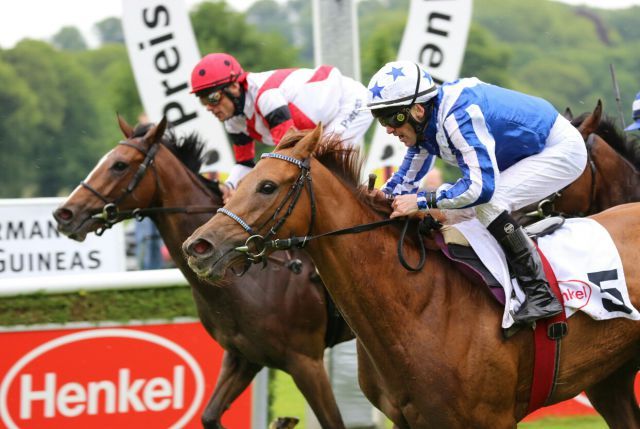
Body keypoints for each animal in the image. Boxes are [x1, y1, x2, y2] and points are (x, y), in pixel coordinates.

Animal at [53, 117, 356, 428]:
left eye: (119, 165)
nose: (64, 214)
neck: (255, 279)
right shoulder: (244, 356)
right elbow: (209, 415)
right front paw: (281, 422)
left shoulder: (306, 362)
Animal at [182, 126, 640, 428]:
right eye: (241, 182)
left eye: (267, 187)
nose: (198, 246)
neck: (419, 305)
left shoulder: (490, 420)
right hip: (609, 380)